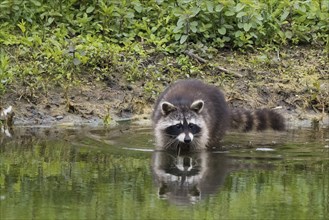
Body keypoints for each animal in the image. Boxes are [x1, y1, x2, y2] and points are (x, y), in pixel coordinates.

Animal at [151, 79, 282, 151]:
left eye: (191, 125)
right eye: (178, 126)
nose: (187, 139)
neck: (182, 103)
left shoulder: (202, 130)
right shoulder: (161, 128)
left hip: (219, 123)